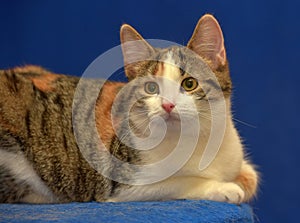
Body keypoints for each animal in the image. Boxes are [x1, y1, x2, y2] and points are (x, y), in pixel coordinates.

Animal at [0, 13, 258, 204]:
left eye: (189, 84)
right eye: (151, 87)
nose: (168, 104)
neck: (197, 140)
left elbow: (252, 177)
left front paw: (242, 179)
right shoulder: (124, 184)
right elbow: (179, 183)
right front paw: (223, 188)